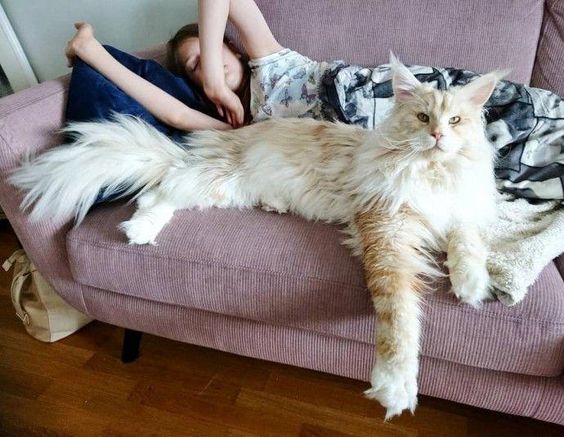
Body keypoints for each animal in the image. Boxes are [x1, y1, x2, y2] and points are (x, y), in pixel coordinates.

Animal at [9, 56, 498, 418]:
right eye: (422, 117)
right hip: (213, 180)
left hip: (222, 191)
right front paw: (396, 386)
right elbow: (400, 315)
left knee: (164, 193)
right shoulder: (388, 229)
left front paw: (473, 285)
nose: (438, 136)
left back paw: (268, 206)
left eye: (456, 120)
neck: (433, 173)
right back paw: (138, 231)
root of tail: (205, 146)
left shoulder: (462, 210)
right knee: (157, 192)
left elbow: (468, 242)